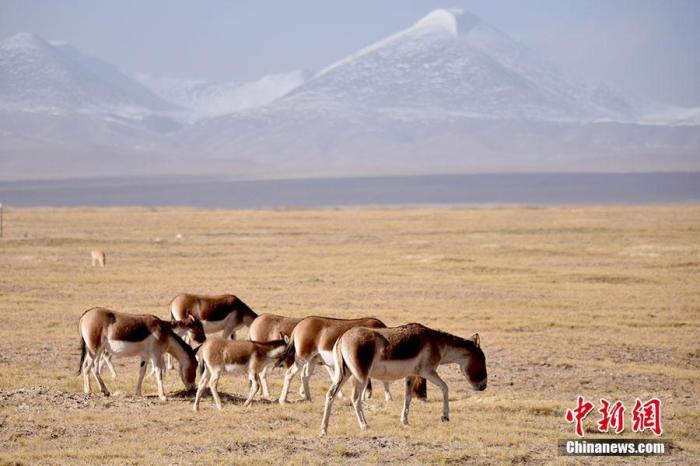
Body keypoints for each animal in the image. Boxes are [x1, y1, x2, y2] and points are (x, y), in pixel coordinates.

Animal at [322, 322, 486, 436]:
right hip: (360, 377)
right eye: (482, 358)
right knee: (355, 399)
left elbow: (408, 397)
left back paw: (324, 429)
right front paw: (445, 416)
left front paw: (405, 422)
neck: (437, 343)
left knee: (330, 395)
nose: (483, 386)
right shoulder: (427, 372)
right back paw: (364, 425)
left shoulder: (411, 375)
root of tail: (342, 338)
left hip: (343, 374)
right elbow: (445, 387)